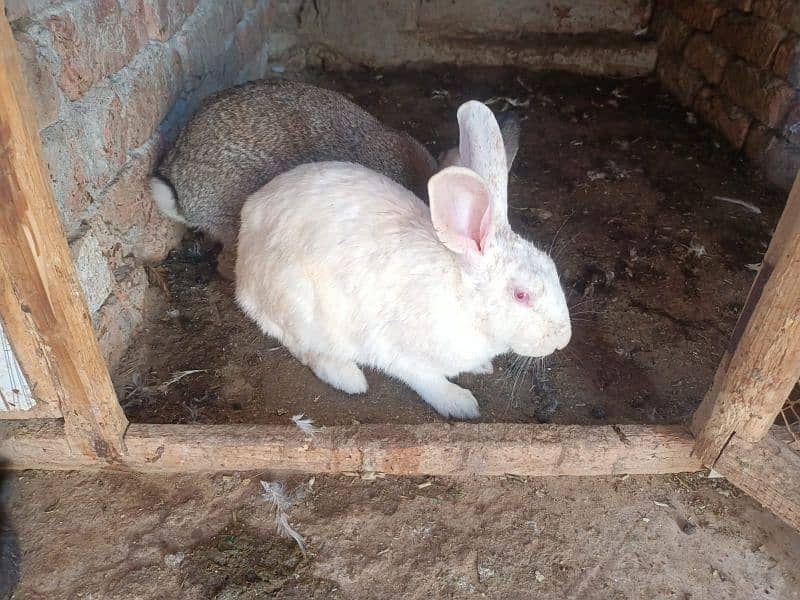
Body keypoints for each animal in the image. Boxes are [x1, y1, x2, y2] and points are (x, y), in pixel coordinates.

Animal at [234, 101, 572, 420]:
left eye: (553, 269)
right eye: (521, 295)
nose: (562, 340)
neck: (463, 298)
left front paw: (482, 367)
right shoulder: (401, 354)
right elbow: (425, 379)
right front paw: (460, 404)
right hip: (299, 306)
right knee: (304, 348)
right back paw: (349, 378)